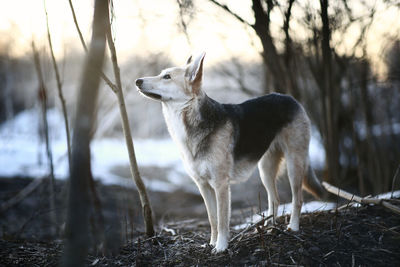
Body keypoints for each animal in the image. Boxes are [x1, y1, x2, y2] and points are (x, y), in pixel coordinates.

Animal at [136, 53, 326, 254]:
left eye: (167, 77)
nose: (137, 81)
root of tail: (291, 99)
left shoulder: (221, 185)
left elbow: (222, 221)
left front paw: (221, 247)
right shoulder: (203, 185)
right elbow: (212, 219)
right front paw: (211, 243)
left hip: (294, 165)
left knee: (297, 199)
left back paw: (293, 227)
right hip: (265, 170)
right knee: (275, 199)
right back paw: (270, 229)